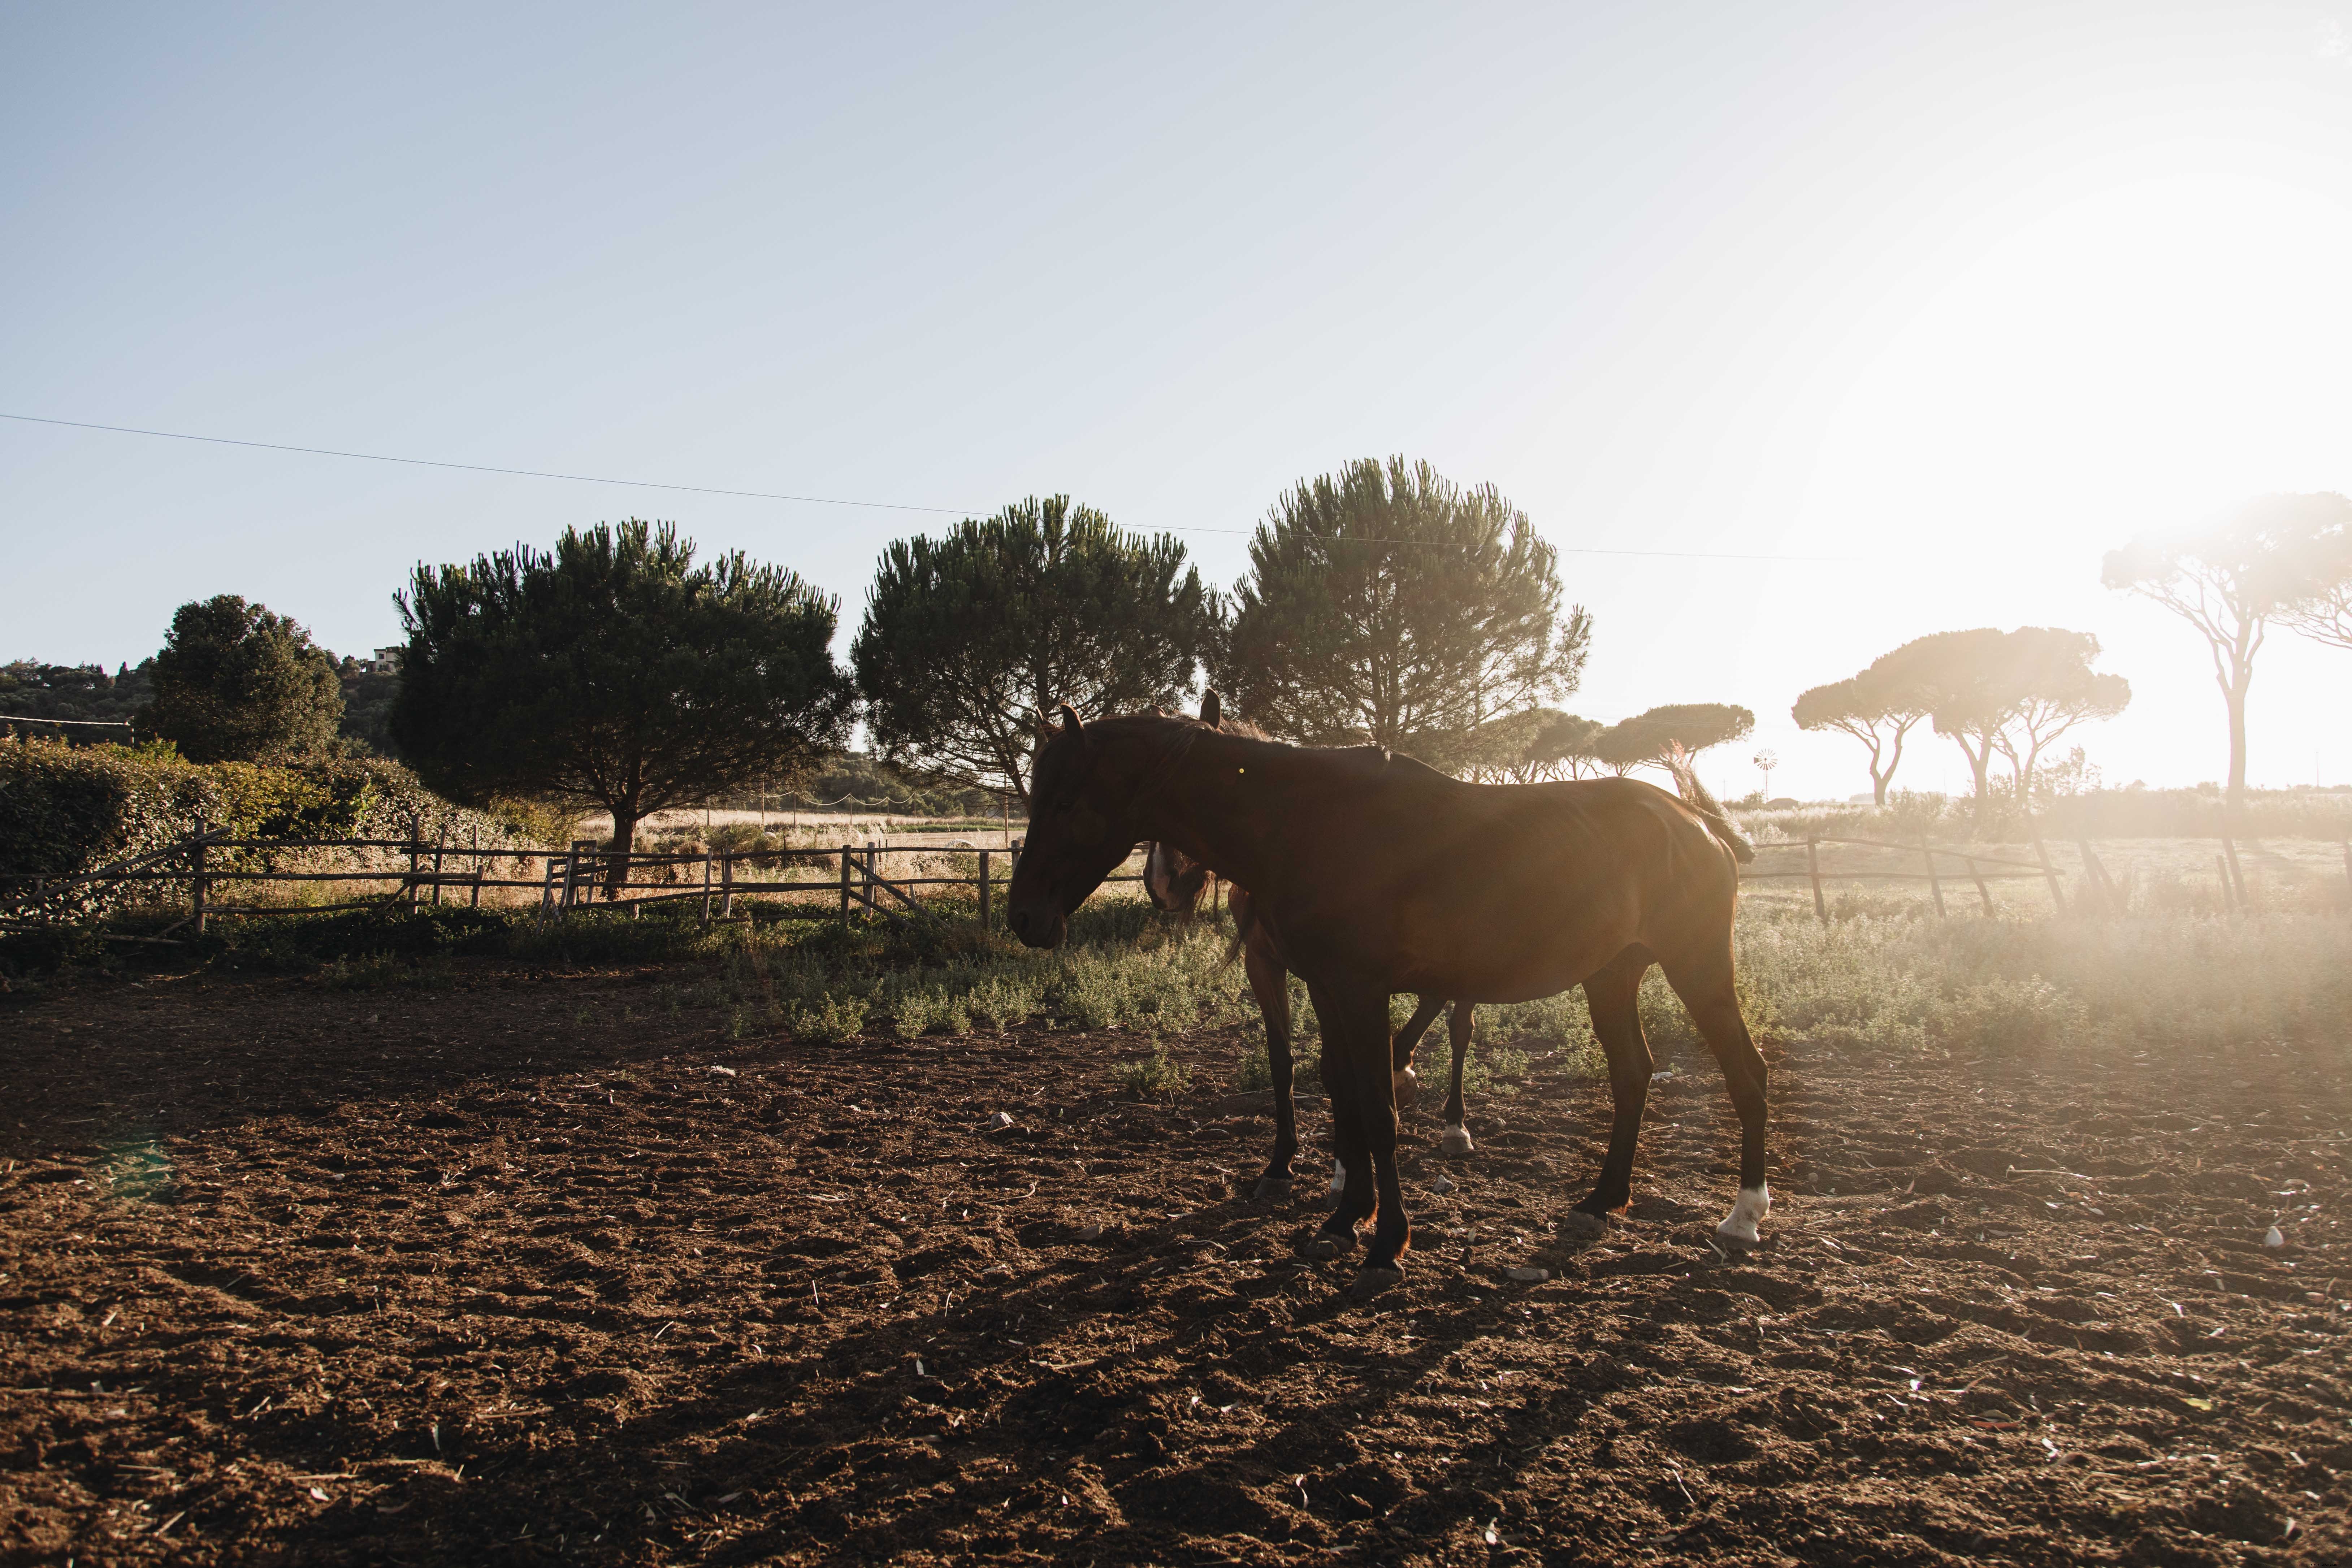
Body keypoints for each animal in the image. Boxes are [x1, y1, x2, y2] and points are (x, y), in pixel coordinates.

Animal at [1011, 705, 1768, 1298]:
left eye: (1064, 802)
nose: (1025, 918)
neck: (1304, 821)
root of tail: (1696, 823)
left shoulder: (1360, 988)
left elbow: (1378, 1106)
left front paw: (1386, 1244)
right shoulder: (1324, 986)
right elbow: (1342, 1093)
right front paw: (1343, 1217)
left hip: (1697, 964)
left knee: (1745, 1073)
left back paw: (1742, 1217)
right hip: (1610, 975)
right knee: (1632, 1074)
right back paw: (1601, 1200)